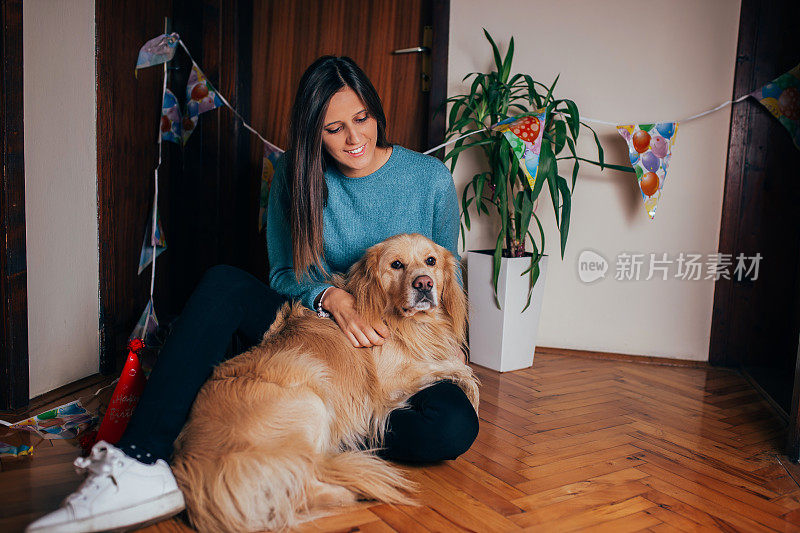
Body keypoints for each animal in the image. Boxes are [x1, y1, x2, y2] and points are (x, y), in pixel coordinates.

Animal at [171, 235, 478, 528]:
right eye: (396, 265)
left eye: (431, 261)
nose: (424, 283)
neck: (407, 322)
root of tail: (195, 465)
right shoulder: (389, 382)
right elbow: (457, 368)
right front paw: (471, 389)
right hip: (312, 402)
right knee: (304, 483)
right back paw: (355, 488)